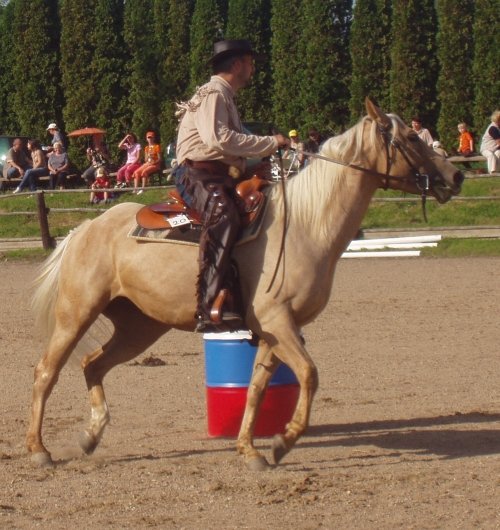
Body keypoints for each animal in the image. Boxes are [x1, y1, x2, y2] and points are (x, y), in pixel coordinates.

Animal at [28, 99, 464, 466]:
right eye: (411, 138)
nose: (456, 175)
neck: (305, 225)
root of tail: (86, 228)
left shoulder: (278, 329)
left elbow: (257, 388)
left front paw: (251, 449)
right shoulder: (277, 322)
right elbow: (309, 375)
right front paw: (283, 441)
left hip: (140, 326)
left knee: (93, 364)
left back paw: (89, 437)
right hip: (77, 312)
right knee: (47, 370)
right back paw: (39, 450)